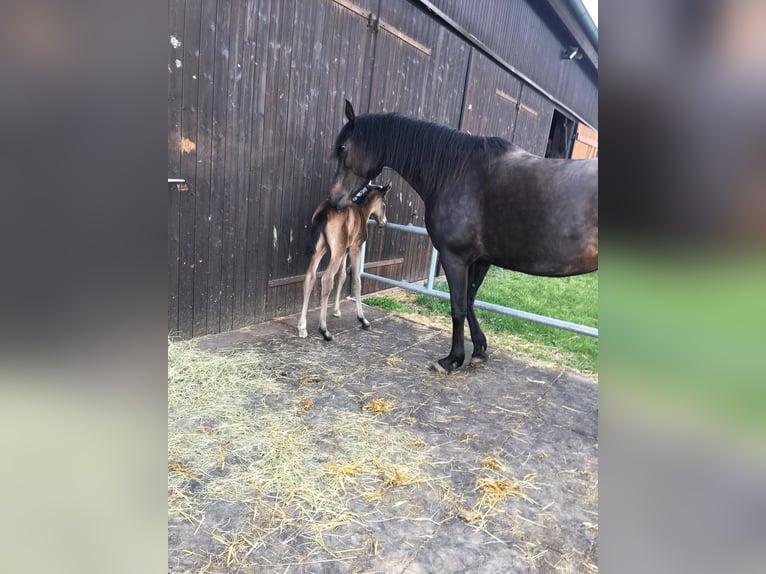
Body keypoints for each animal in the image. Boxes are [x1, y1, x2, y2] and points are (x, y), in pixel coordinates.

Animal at [296, 182, 390, 340]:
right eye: (384, 204)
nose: (384, 222)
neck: (362, 211)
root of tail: (326, 211)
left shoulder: (345, 250)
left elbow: (342, 276)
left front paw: (336, 310)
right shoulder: (355, 248)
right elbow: (356, 281)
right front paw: (363, 320)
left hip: (321, 248)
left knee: (310, 277)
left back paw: (302, 327)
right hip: (336, 251)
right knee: (327, 279)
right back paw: (324, 330)